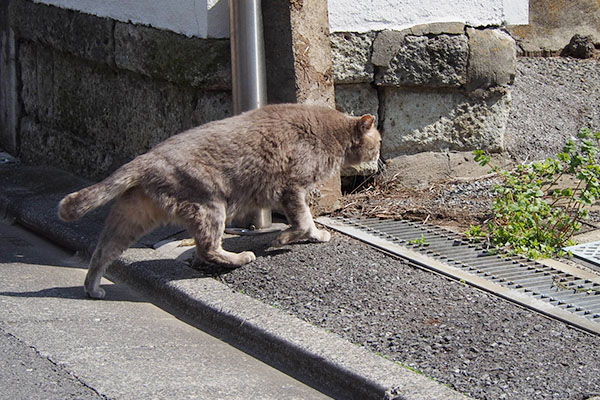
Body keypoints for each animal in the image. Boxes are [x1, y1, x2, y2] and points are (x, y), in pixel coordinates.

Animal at [57, 104, 380, 298]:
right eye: (377, 144)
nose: (379, 160)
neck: (332, 136)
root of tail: (146, 158)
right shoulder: (292, 188)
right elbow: (302, 221)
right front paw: (283, 239)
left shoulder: (293, 192)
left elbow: (308, 223)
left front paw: (315, 236)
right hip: (211, 206)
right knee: (207, 249)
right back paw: (239, 258)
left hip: (130, 217)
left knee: (102, 252)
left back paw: (92, 288)